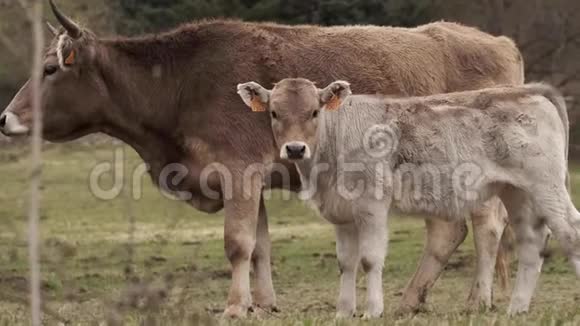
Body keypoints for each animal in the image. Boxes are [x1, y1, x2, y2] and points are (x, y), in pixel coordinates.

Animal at [0, 0, 524, 318]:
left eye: (49, 69)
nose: (5, 118)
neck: (179, 84)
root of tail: (495, 41)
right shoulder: (255, 178)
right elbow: (260, 246)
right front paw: (264, 303)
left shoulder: (238, 173)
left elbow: (237, 243)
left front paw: (234, 306)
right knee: (449, 231)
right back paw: (411, 299)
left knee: (487, 226)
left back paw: (477, 299)